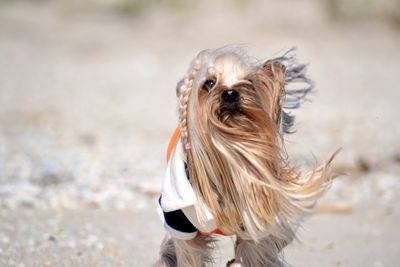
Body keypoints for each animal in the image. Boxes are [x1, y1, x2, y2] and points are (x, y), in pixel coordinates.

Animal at [155, 46, 336, 267]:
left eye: (249, 82)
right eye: (209, 83)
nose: (231, 93)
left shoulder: (259, 217)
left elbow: (253, 250)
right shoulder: (181, 221)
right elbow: (190, 252)